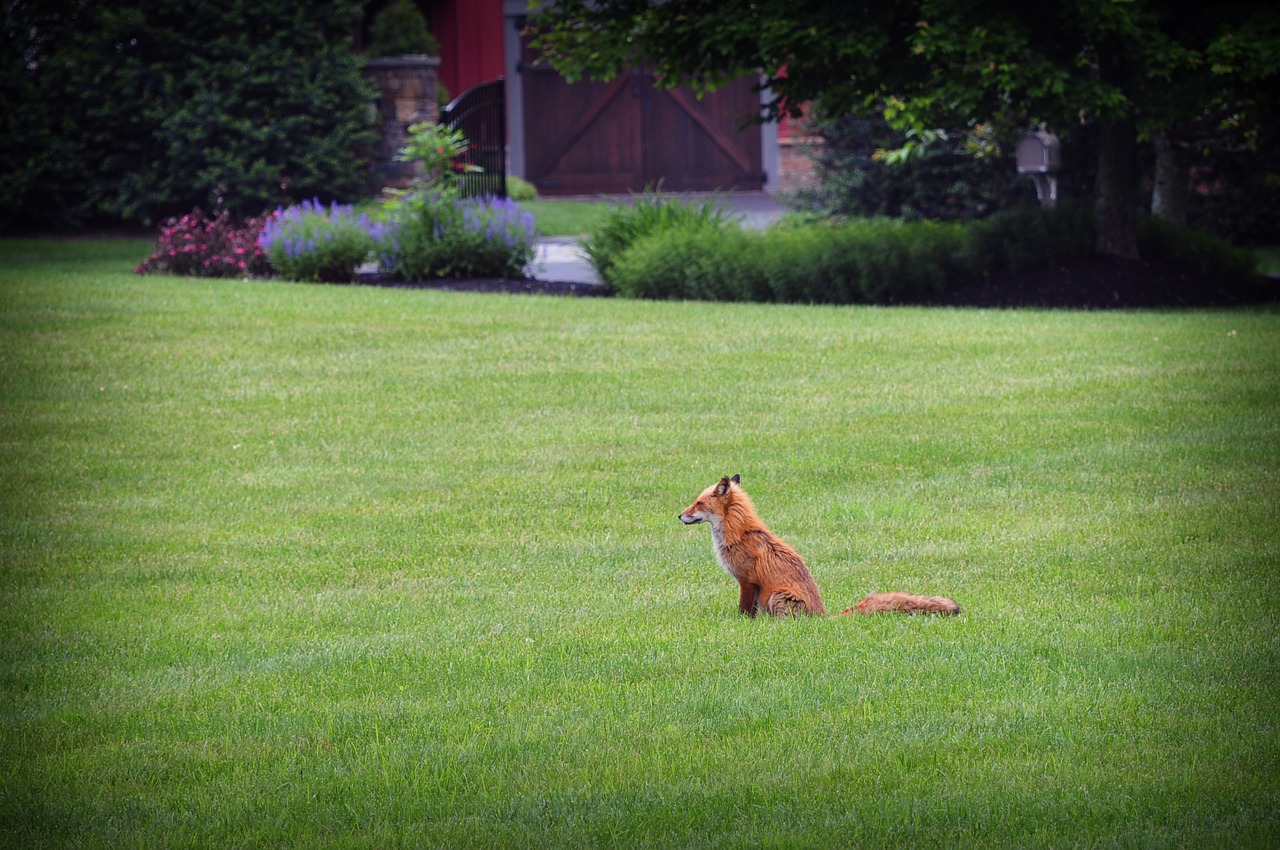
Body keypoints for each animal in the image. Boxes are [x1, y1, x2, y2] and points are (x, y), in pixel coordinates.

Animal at [680, 471, 962, 617]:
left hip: (776, 595)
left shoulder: (748, 581)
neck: (739, 533)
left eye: (698, 503)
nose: (679, 516)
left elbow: (744, 611)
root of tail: (823, 617)